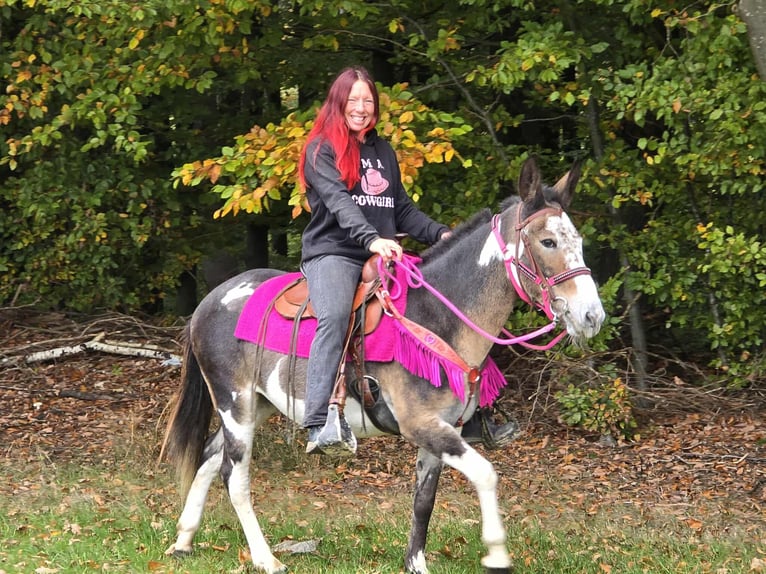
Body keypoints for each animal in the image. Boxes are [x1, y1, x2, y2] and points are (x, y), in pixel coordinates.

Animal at [160, 157, 605, 574]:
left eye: (578, 240)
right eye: (547, 240)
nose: (592, 316)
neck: (433, 318)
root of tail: (209, 302)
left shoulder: (442, 431)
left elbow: (424, 501)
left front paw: (417, 564)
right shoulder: (422, 425)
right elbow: (485, 473)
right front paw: (496, 552)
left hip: (257, 406)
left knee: (209, 457)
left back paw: (183, 540)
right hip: (234, 404)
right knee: (234, 475)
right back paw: (266, 558)